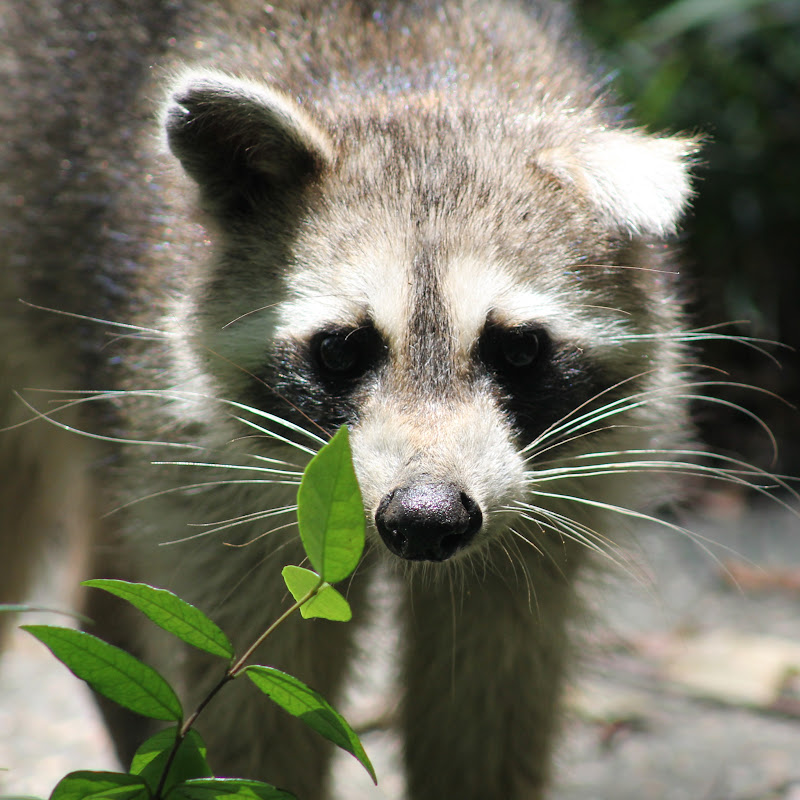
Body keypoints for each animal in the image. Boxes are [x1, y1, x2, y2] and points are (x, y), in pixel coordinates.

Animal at [1, 0, 709, 797]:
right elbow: (256, 698)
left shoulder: (549, 508)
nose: (426, 519)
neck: (419, 84)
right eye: (342, 350)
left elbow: (490, 687)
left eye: (519, 351)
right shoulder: (205, 465)